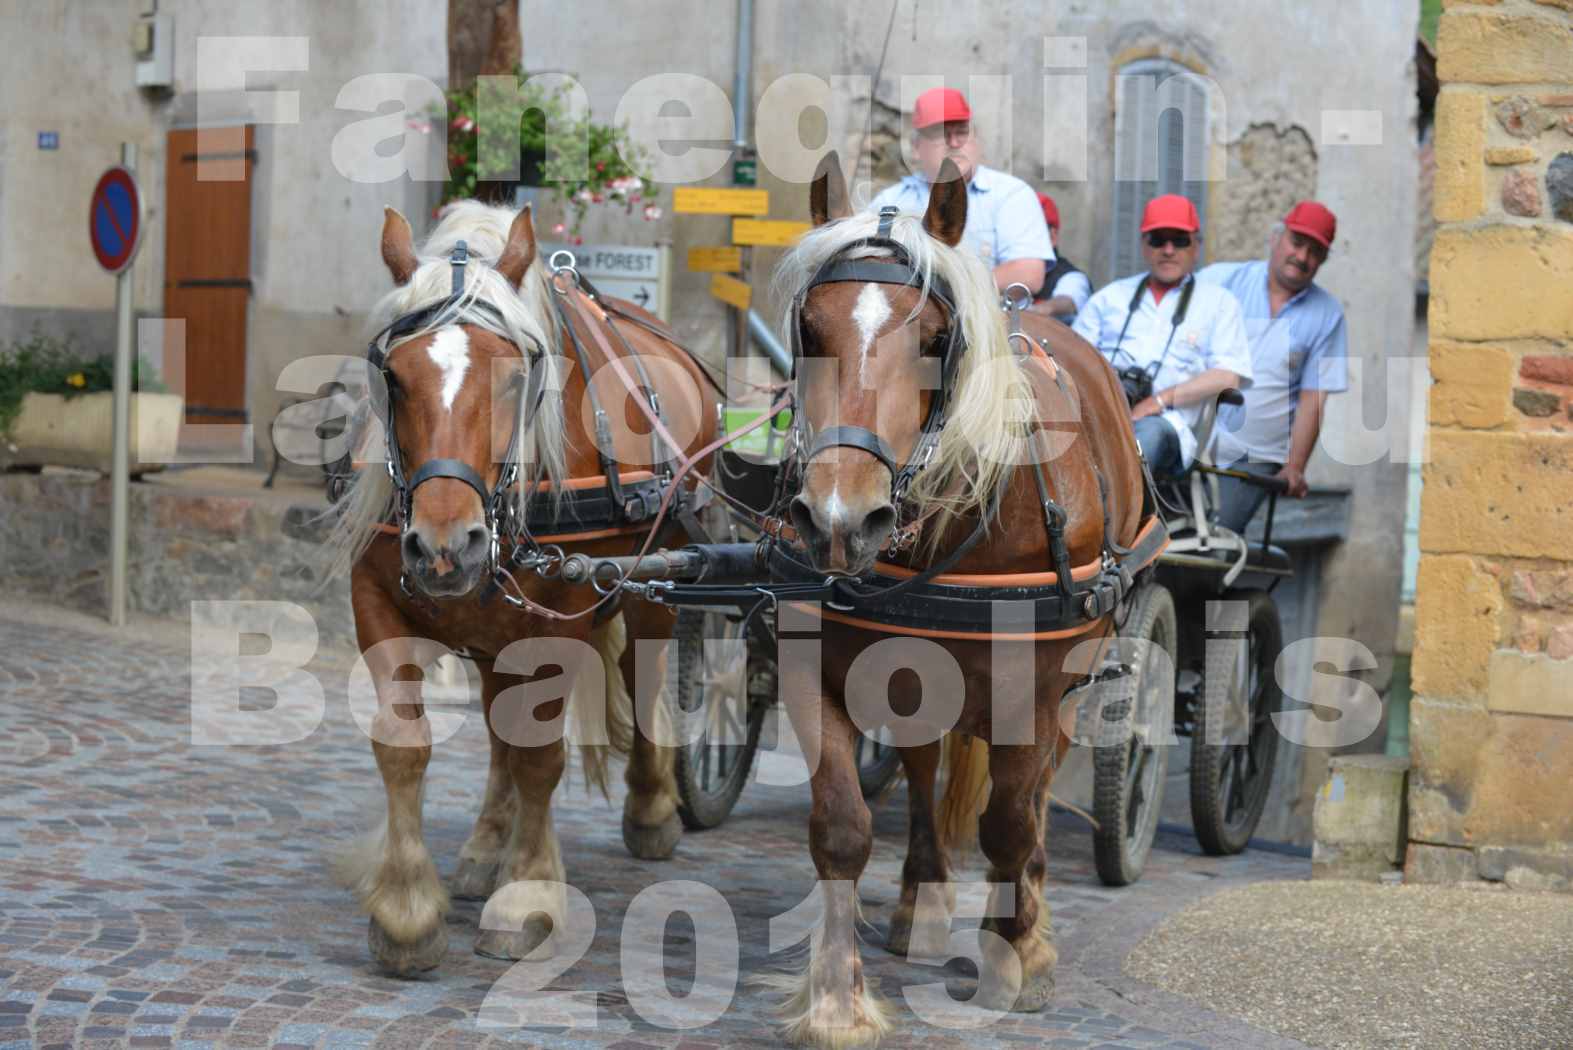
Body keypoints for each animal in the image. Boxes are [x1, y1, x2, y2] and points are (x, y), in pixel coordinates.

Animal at [325, 202, 720, 974]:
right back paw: (486, 846)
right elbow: (404, 745)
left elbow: (540, 758)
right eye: (394, 376)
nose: (446, 548)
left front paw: (526, 899)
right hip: (493, 631)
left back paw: (652, 808)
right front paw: (407, 912)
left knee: (644, 681)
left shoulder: (560, 621)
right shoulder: (377, 604)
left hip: (657, 585)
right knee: (497, 726)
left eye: (516, 378)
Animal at [764, 160, 1157, 1043]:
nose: (840, 520)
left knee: (1034, 798)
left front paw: (1016, 958)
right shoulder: (816, 665)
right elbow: (840, 825)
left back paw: (1027, 922)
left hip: (1076, 674)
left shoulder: (1033, 687)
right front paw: (837, 1001)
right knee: (919, 766)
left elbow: (1009, 821)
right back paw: (922, 899)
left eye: (936, 341)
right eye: (808, 330)